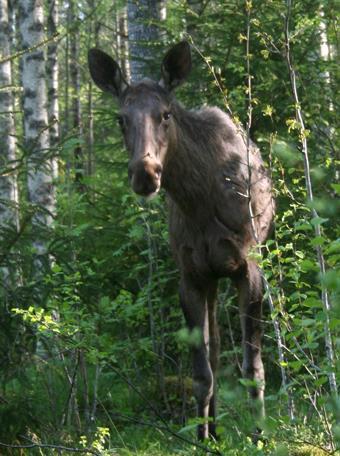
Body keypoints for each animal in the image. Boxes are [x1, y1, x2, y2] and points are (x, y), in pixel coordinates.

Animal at [87, 41, 274, 440]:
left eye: (166, 114)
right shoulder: (191, 275)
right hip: (212, 279)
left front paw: (259, 436)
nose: (145, 173)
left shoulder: (248, 268)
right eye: (121, 119)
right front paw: (201, 438)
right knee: (215, 350)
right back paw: (215, 429)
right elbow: (202, 373)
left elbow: (253, 369)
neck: (199, 199)